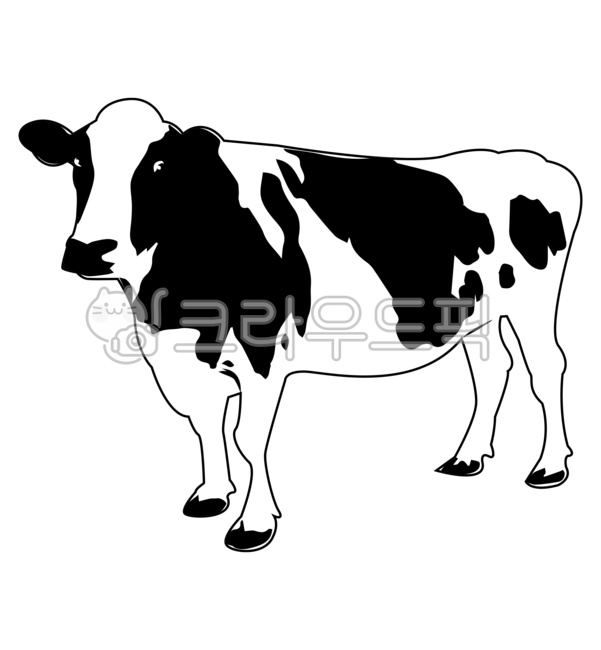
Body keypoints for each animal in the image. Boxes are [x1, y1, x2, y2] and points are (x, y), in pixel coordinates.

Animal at [20, 100, 580, 550]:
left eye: (158, 165)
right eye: (79, 163)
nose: (91, 250)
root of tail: (535, 162)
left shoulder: (261, 348)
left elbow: (249, 435)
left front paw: (255, 523)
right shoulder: (181, 355)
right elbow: (205, 422)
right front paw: (212, 495)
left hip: (533, 297)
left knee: (545, 367)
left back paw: (550, 466)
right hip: (478, 309)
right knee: (492, 370)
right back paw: (469, 457)